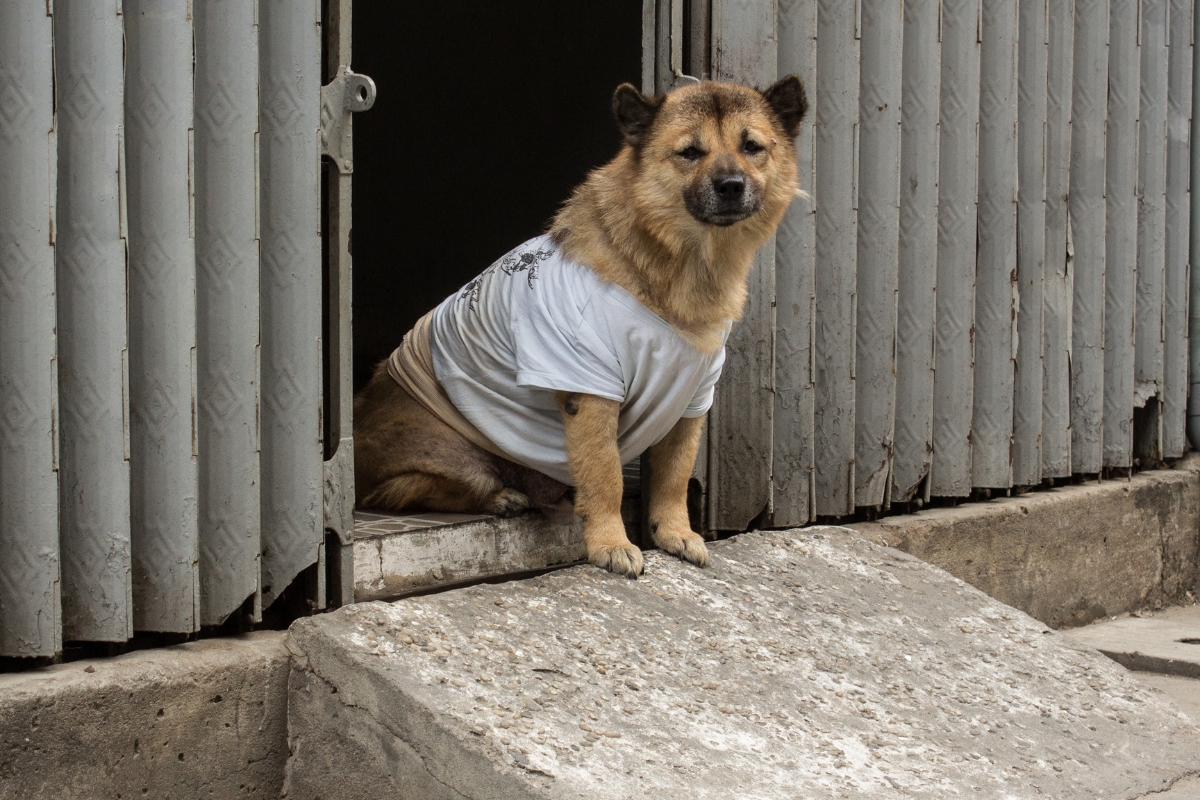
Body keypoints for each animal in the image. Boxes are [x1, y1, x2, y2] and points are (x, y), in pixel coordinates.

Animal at [352, 76, 806, 575]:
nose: (730, 186)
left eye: (752, 147)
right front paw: (610, 543)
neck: (672, 265)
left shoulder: (692, 398)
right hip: (451, 457)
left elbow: (674, 476)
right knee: (408, 490)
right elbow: (606, 475)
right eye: (690, 152)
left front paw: (674, 533)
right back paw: (502, 496)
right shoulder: (590, 391)